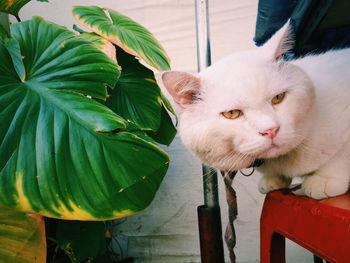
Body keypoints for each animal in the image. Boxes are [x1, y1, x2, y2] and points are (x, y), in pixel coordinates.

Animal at [163, 24, 350, 200]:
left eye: (278, 98)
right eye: (232, 113)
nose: (271, 130)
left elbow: (341, 156)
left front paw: (325, 179)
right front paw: (274, 179)